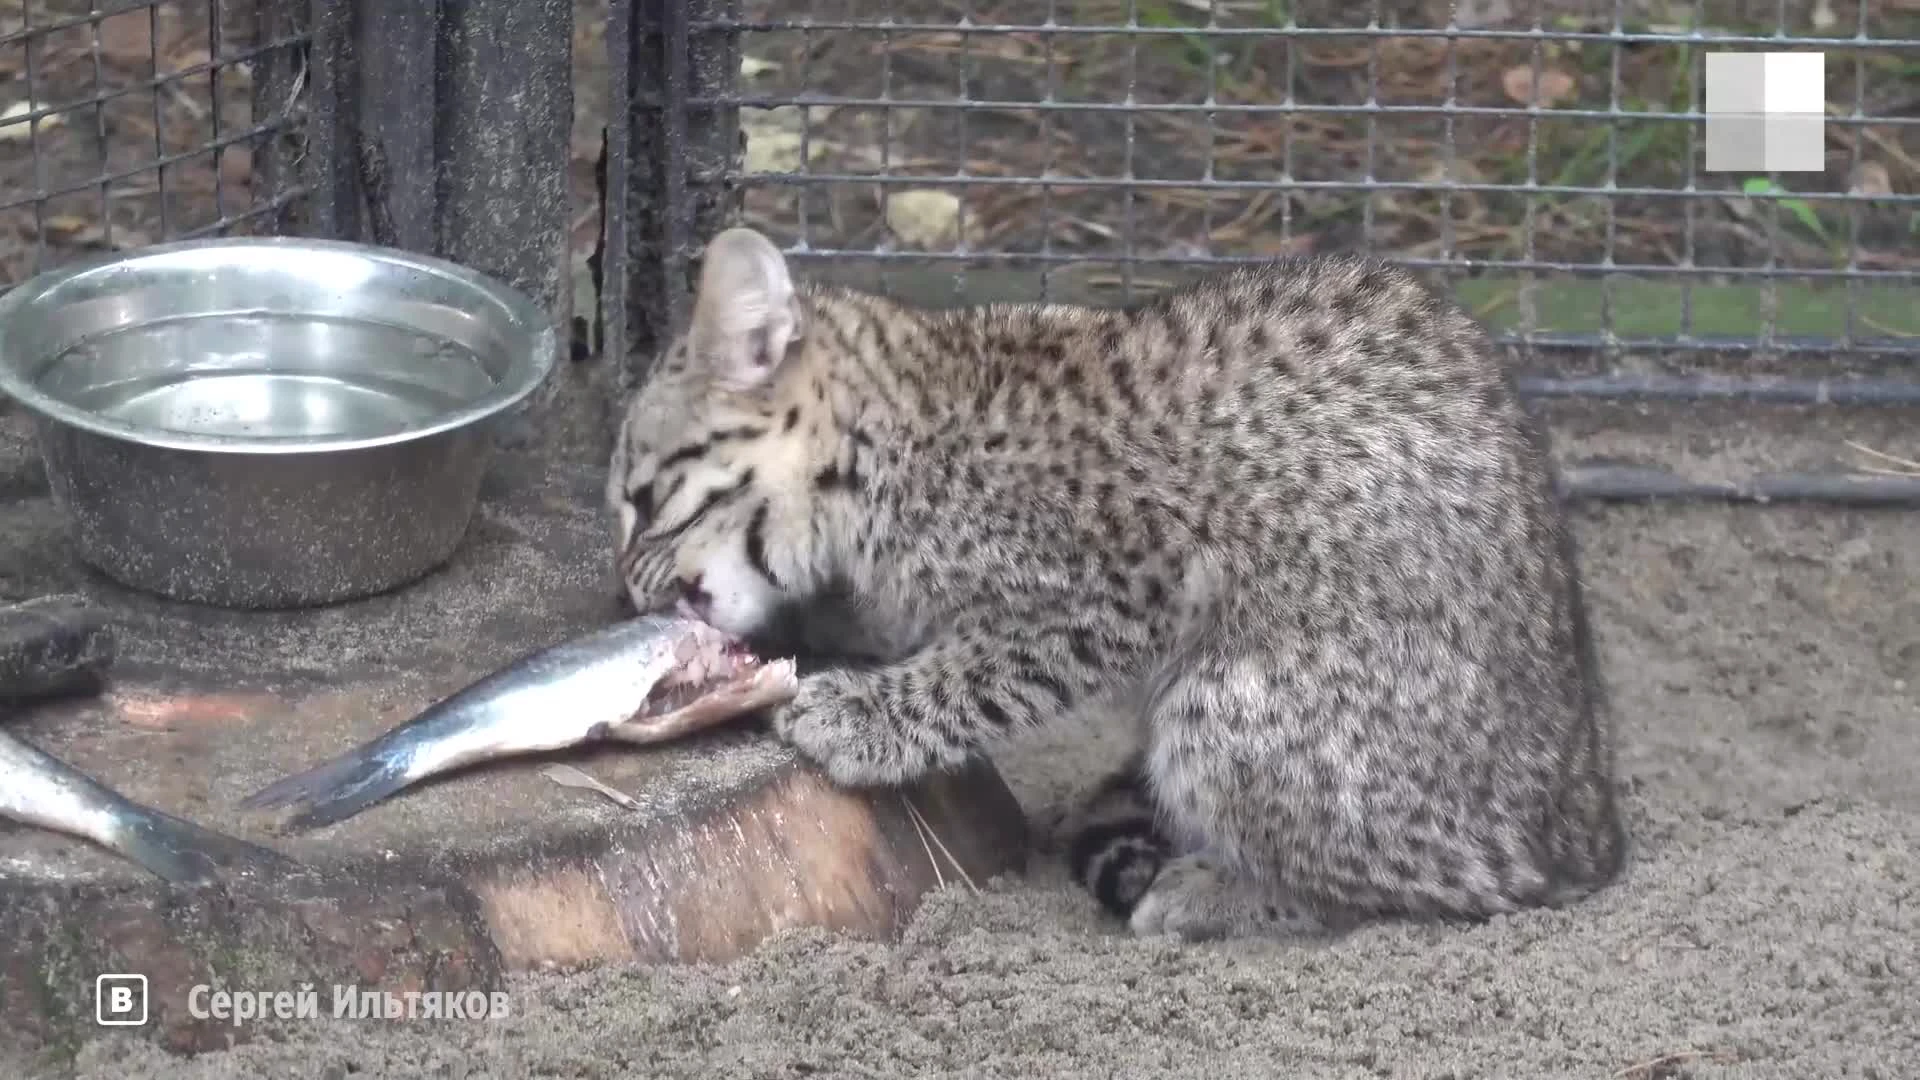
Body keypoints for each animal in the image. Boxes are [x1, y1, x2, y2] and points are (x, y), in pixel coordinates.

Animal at [606, 228, 1628, 941]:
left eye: (642, 500)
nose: (627, 595)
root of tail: (1589, 826)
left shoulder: (1129, 579)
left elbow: (985, 671)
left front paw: (868, 714)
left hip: (1236, 707)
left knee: (1462, 889)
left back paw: (1228, 893)